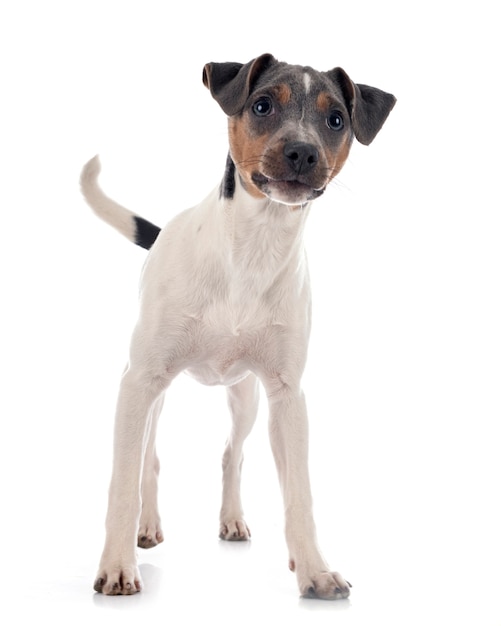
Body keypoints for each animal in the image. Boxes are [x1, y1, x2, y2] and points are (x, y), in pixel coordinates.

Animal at [80, 54, 396, 600]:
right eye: (262, 105)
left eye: (336, 119)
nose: (301, 152)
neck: (254, 250)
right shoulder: (138, 382)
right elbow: (122, 483)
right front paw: (117, 567)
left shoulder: (288, 397)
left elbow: (299, 494)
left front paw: (314, 568)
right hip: (153, 394)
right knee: (149, 460)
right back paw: (147, 527)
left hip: (248, 400)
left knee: (234, 455)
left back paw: (240, 524)